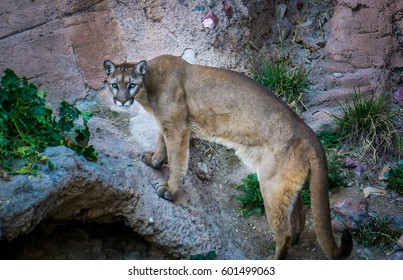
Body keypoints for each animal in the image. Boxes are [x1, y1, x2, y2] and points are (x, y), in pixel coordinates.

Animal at [104, 54, 354, 260]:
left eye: (132, 85)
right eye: (115, 85)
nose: (122, 100)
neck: (149, 84)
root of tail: (310, 133)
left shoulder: (177, 127)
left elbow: (177, 160)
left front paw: (170, 190)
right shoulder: (167, 124)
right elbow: (160, 141)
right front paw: (155, 160)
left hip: (272, 185)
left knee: (283, 233)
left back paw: (273, 259)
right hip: (286, 183)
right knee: (298, 214)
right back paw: (296, 239)